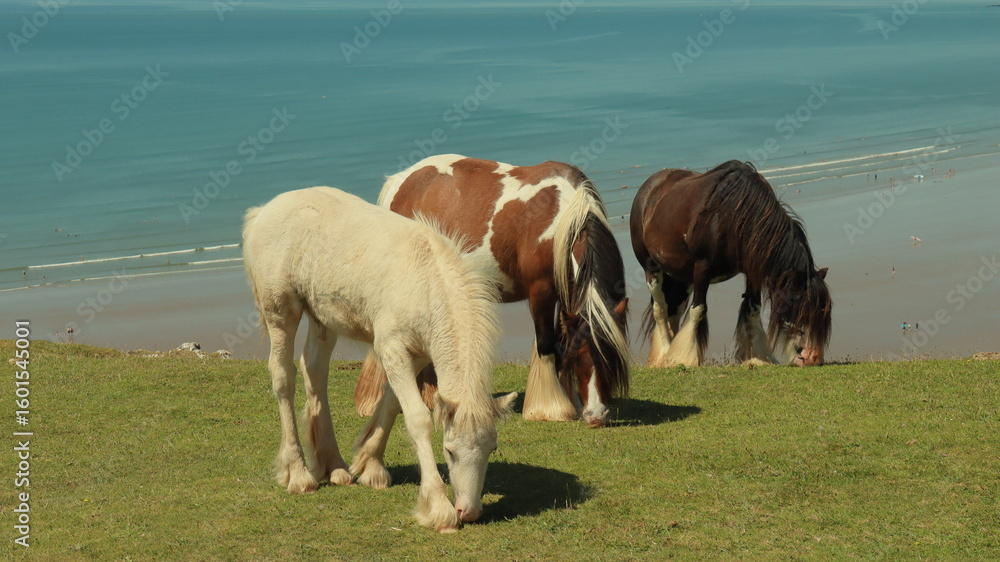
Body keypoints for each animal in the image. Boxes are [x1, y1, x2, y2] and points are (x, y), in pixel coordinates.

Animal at [242, 186, 516, 532]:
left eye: (492, 448)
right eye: (449, 452)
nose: (469, 511)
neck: (427, 284)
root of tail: (264, 211)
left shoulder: (415, 354)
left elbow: (391, 404)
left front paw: (370, 465)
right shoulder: (392, 348)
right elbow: (418, 418)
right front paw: (439, 509)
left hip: (322, 319)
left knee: (315, 372)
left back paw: (334, 466)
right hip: (280, 312)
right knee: (283, 379)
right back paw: (299, 473)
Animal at [351, 154, 630, 428]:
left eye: (611, 356)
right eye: (581, 356)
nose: (597, 416)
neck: (563, 218)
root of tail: (400, 181)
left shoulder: (565, 296)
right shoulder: (541, 292)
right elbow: (546, 344)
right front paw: (550, 409)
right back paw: (373, 402)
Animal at [629, 160, 831, 367]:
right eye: (800, 307)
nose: (813, 357)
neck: (733, 217)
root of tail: (648, 187)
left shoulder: (752, 272)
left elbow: (752, 309)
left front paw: (757, 356)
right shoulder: (702, 268)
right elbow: (698, 309)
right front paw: (684, 358)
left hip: (682, 276)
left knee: (673, 310)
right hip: (652, 269)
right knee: (660, 309)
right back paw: (664, 353)